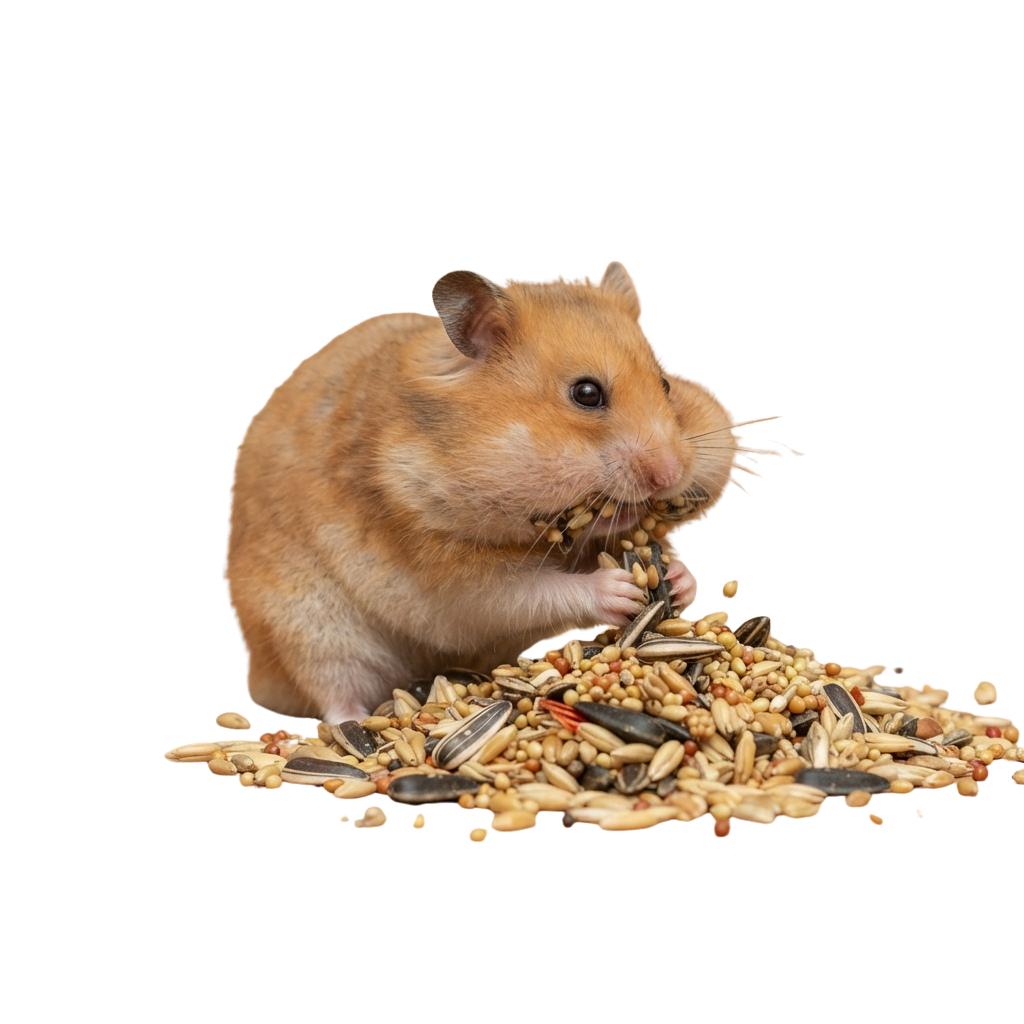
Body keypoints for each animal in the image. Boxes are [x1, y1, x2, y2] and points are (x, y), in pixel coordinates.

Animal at [223, 261, 780, 725]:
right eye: (586, 394)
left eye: (666, 385)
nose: (670, 474)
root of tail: (258, 679)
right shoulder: (446, 575)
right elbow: (527, 592)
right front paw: (620, 592)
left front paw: (680, 583)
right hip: (308, 631)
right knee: (334, 694)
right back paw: (356, 731)